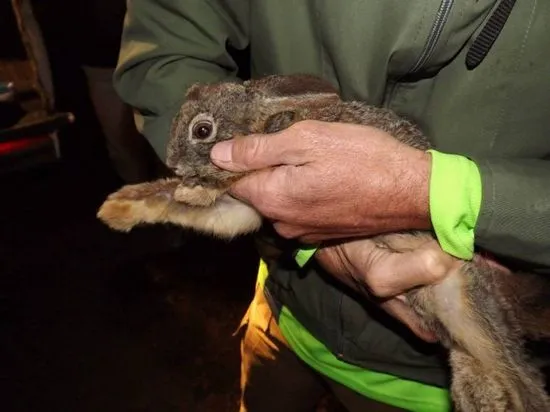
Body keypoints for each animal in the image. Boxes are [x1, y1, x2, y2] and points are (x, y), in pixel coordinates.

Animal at [97, 75, 550, 412]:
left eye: (202, 130)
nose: (173, 162)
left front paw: (195, 190)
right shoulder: (244, 212)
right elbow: (174, 202)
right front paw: (118, 209)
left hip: (472, 311)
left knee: (526, 382)